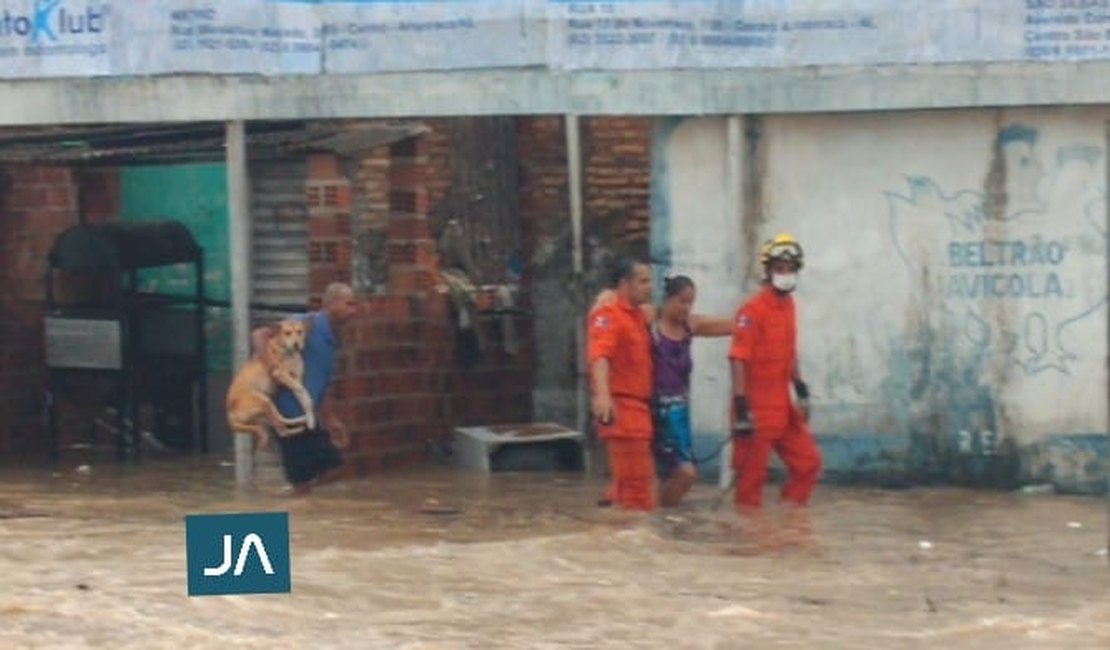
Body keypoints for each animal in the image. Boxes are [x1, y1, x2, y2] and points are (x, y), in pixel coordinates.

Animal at [223, 317, 315, 448]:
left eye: (300, 331)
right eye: (287, 333)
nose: (296, 345)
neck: (287, 352)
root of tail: (229, 415)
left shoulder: (297, 378)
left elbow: (304, 397)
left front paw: (310, 417)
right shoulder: (280, 374)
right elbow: (301, 390)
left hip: (265, 411)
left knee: (280, 422)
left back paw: (301, 420)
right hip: (264, 401)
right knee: (282, 430)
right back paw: (297, 427)